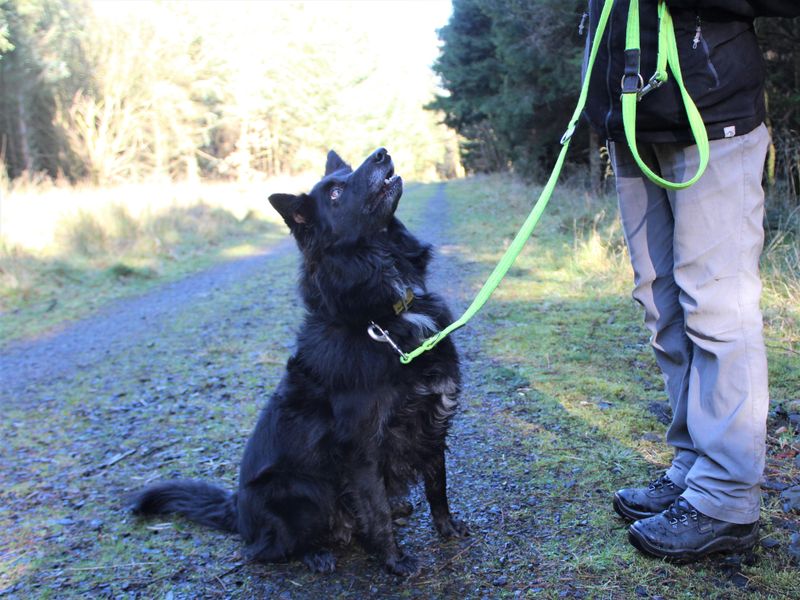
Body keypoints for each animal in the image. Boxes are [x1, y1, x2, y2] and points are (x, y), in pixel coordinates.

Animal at [130, 148, 468, 576]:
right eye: (336, 193)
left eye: (349, 171)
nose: (382, 153)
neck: (382, 314)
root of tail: (238, 510)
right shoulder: (362, 448)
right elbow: (375, 511)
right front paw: (394, 560)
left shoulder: (433, 421)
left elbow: (437, 487)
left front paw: (447, 528)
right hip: (301, 491)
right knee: (267, 549)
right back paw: (316, 554)